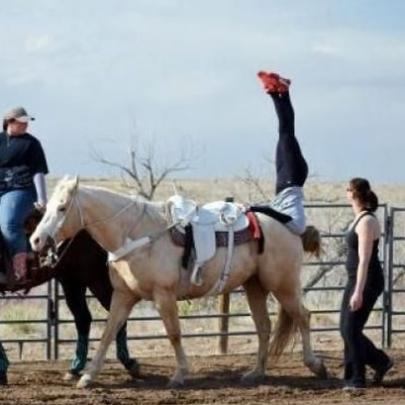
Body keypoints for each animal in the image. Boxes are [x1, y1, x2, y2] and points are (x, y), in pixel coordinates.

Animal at [30, 178, 326, 388]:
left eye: (62, 207)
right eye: (46, 207)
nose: (36, 240)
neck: (136, 233)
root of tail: (289, 225)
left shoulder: (164, 295)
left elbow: (173, 333)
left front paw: (180, 374)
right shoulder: (123, 295)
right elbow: (108, 333)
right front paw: (87, 377)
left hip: (283, 285)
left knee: (303, 316)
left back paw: (315, 365)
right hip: (255, 286)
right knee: (264, 326)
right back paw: (256, 373)